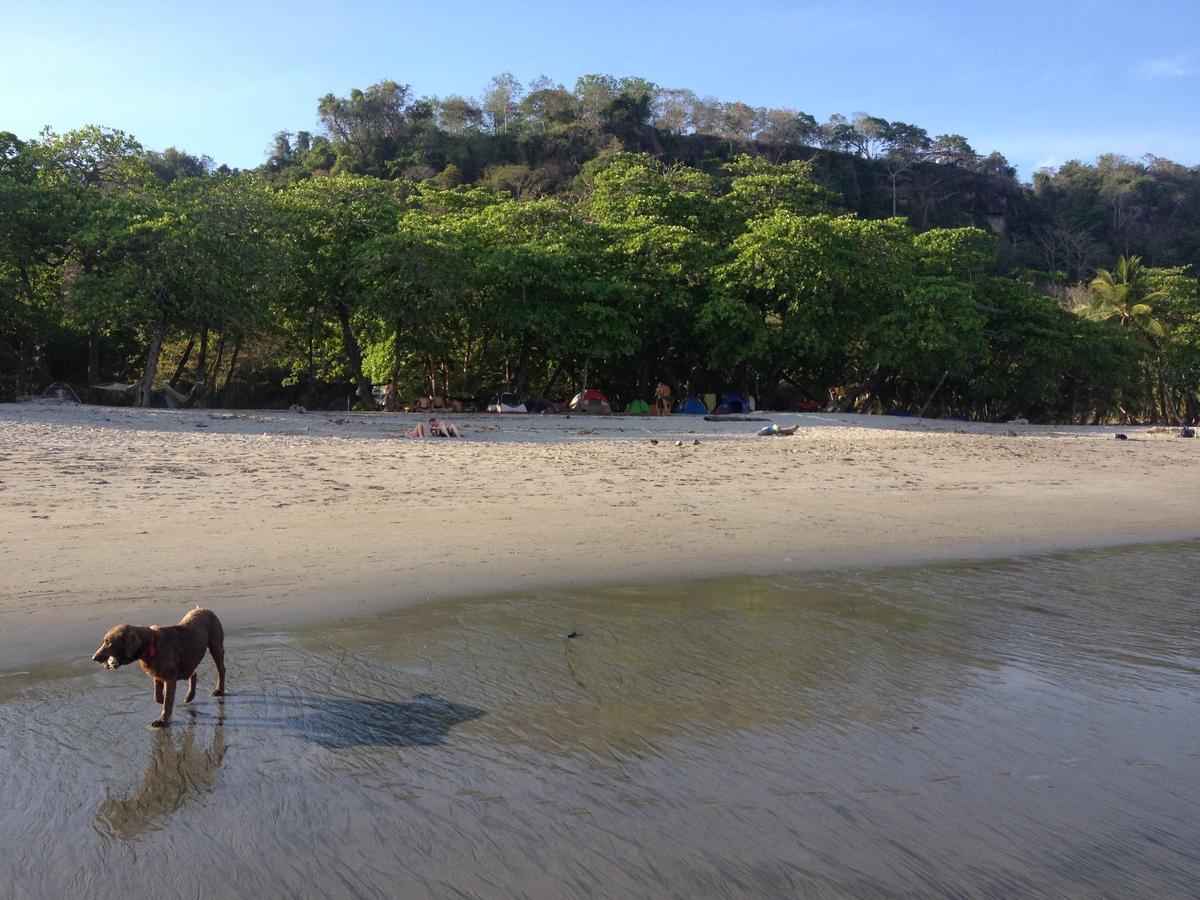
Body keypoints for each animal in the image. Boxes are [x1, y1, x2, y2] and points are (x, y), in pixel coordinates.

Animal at [92, 607, 225, 724]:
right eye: (104, 641)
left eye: (109, 642)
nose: (94, 658)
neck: (150, 646)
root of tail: (204, 609)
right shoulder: (157, 675)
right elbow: (157, 696)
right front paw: (163, 702)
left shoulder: (170, 679)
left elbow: (166, 701)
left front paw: (162, 720)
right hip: (188, 661)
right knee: (194, 673)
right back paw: (190, 696)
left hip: (215, 647)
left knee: (221, 670)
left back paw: (219, 690)